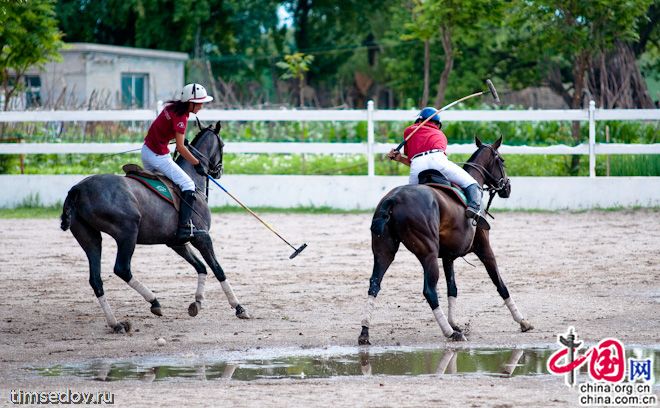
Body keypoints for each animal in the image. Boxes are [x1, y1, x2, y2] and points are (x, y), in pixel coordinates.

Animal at [60, 120, 250, 332]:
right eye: (223, 145)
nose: (219, 171)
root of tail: (77, 189)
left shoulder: (177, 242)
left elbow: (201, 267)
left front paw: (197, 302)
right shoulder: (202, 237)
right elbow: (218, 269)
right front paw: (238, 307)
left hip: (90, 237)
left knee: (96, 280)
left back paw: (116, 323)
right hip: (127, 233)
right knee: (122, 269)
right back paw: (154, 301)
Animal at [358, 137, 532, 344]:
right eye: (502, 161)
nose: (507, 187)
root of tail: (393, 199)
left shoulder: (448, 257)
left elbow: (452, 289)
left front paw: (454, 323)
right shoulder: (484, 248)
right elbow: (500, 283)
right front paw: (522, 321)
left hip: (383, 251)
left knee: (374, 284)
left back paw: (364, 332)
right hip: (428, 253)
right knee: (429, 290)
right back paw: (450, 333)